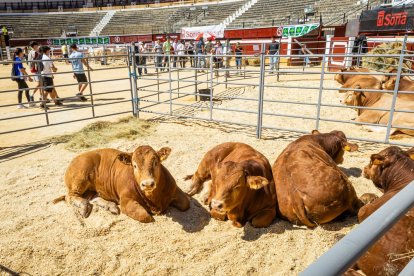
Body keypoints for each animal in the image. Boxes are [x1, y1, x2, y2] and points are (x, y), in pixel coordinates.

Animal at [53, 147, 191, 222]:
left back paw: (110, 206)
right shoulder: (125, 201)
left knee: (92, 196)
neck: (154, 200)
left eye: (156, 162)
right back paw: (84, 207)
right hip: (79, 178)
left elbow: (186, 203)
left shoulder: (175, 190)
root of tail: (76, 158)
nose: (147, 184)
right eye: (134, 165)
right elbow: (145, 216)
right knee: (70, 196)